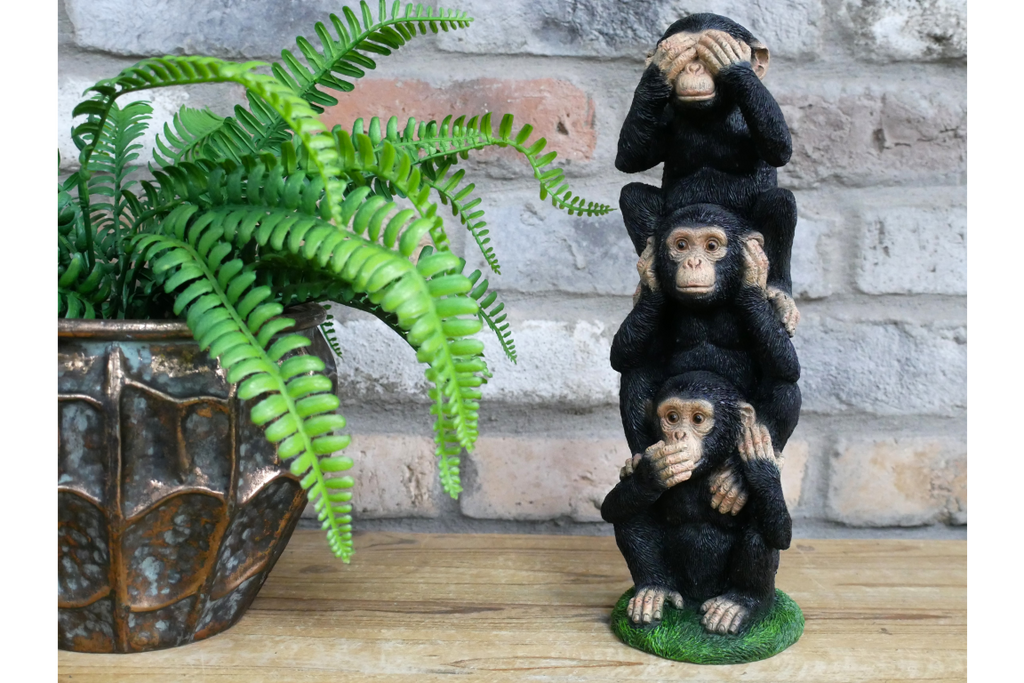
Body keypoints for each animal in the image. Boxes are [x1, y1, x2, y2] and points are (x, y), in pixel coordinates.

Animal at [601, 371, 792, 633]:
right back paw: (653, 588)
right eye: (672, 417)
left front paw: (759, 466)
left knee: (760, 530)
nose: (678, 434)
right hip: (679, 585)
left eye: (698, 419)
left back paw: (740, 603)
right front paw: (652, 474)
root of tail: (696, 598)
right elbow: (610, 508)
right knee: (630, 514)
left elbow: (782, 535)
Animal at [610, 203, 800, 472]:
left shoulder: (770, 305)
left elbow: (787, 362)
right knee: (635, 373)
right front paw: (650, 275)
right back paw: (640, 457)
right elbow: (622, 354)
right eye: (681, 245)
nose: (693, 262)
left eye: (711, 246)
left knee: (784, 383)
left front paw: (753, 274)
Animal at [615, 13, 799, 335]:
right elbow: (630, 156)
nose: (694, 66)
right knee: (632, 195)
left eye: (704, 57)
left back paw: (779, 294)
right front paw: (661, 65)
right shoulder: (663, 120)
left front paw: (731, 61)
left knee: (781, 201)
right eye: (689, 55)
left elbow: (778, 146)